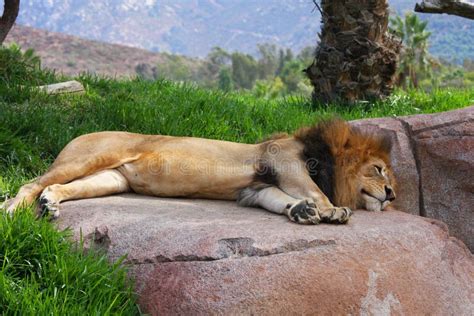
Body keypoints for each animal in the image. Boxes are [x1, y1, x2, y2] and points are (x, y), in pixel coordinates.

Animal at [5, 119, 396, 225]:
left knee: (59, 187)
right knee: (30, 183)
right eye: (379, 170)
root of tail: (79, 133)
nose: (391, 194)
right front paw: (332, 210)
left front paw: (300, 211)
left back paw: (50, 204)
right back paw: (10, 211)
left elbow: (277, 198)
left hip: (110, 179)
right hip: (92, 156)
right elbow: (315, 191)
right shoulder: (283, 160)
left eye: (394, 183)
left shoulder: (254, 189)